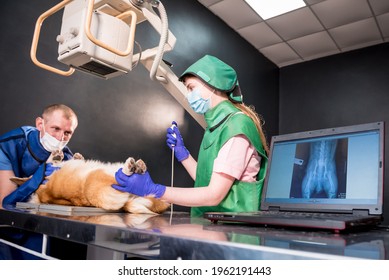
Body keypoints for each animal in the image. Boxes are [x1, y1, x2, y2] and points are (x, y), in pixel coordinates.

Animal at [9, 155, 168, 214]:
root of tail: (126, 204)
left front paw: (75, 156)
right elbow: (51, 161)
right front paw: (57, 156)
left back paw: (140, 168)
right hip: (100, 176)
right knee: (122, 175)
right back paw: (131, 167)